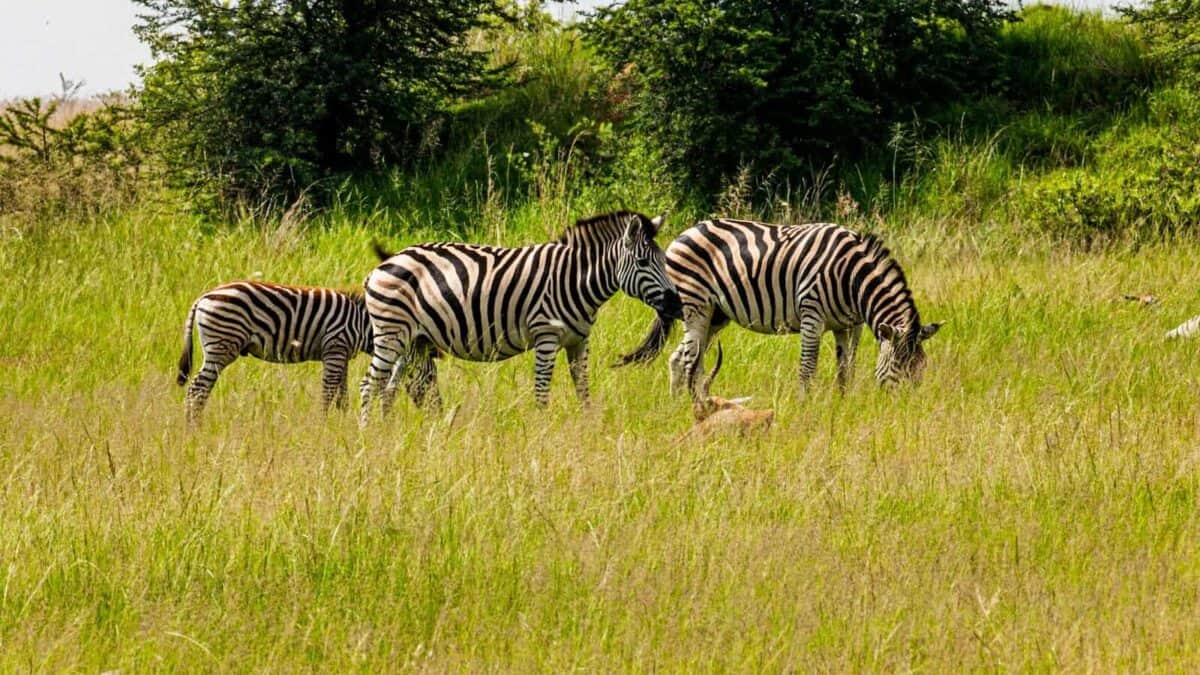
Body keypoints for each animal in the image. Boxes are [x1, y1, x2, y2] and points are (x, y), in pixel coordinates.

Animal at [177, 281, 373, 424]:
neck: (361, 323)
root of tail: (204, 296)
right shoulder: (335, 348)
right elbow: (329, 391)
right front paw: (322, 425)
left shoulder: (343, 355)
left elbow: (343, 396)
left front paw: (342, 425)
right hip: (222, 346)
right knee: (198, 388)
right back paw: (194, 429)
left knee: (197, 389)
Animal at [359, 210, 683, 420]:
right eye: (643, 262)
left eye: (664, 260)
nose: (677, 304)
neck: (573, 279)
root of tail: (385, 263)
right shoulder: (546, 336)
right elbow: (541, 391)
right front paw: (541, 432)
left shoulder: (579, 341)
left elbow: (583, 389)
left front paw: (588, 426)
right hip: (390, 333)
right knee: (369, 384)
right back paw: (368, 435)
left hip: (411, 340)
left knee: (389, 388)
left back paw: (386, 433)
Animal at [617, 219, 941, 399]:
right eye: (898, 365)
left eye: (922, 368)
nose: (906, 407)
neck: (852, 279)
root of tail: (683, 234)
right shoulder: (812, 316)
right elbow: (807, 367)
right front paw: (804, 407)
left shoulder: (850, 325)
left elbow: (845, 367)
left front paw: (842, 402)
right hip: (696, 306)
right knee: (685, 360)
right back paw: (685, 405)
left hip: (715, 316)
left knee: (681, 359)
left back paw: (683, 404)